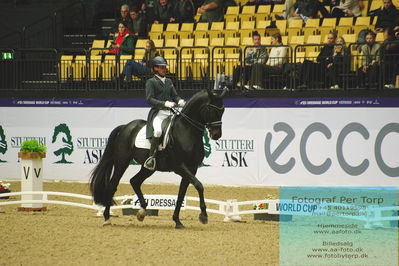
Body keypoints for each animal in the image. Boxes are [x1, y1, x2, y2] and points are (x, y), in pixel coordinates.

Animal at [91, 88, 228, 229]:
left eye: (222, 110)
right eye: (211, 109)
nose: (216, 135)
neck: (186, 130)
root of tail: (125, 127)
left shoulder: (192, 169)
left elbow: (182, 194)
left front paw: (177, 221)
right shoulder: (180, 167)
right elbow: (199, 186)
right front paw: (203, 216)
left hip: (149, 168)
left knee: (135, 181)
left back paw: (142, 212)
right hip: (121, 162)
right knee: (113, 185)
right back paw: (107, 218)